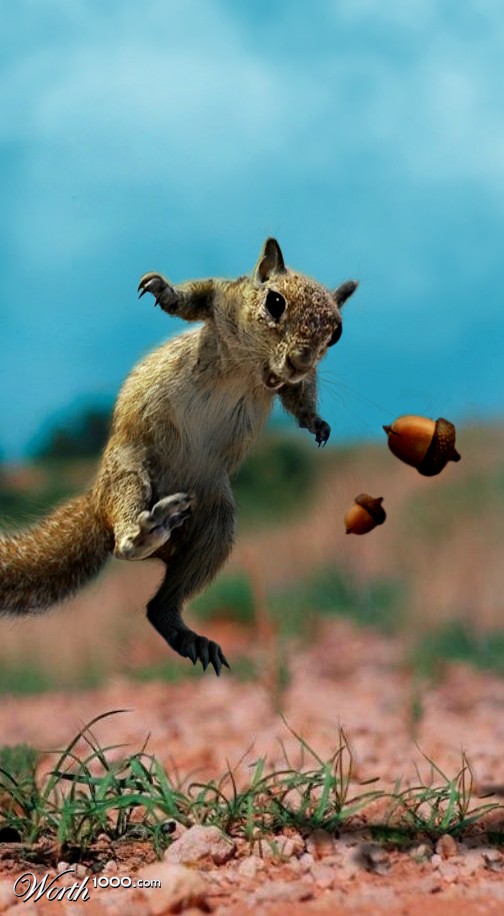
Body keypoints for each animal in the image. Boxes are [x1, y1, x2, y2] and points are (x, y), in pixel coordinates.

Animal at [0, 239, 357, 675]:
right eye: (275, 302)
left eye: (337, 332)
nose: (301, 359)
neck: (257, 363)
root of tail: (96, 503)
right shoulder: (222, 299)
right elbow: (194, 299)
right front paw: (162, 289)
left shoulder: (291, 381)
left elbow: (298, 394)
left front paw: (316, 422)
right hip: (128, 474)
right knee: (126, 536)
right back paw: (145, 531)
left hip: (217, 522)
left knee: (161, 604)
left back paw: (186, 633)